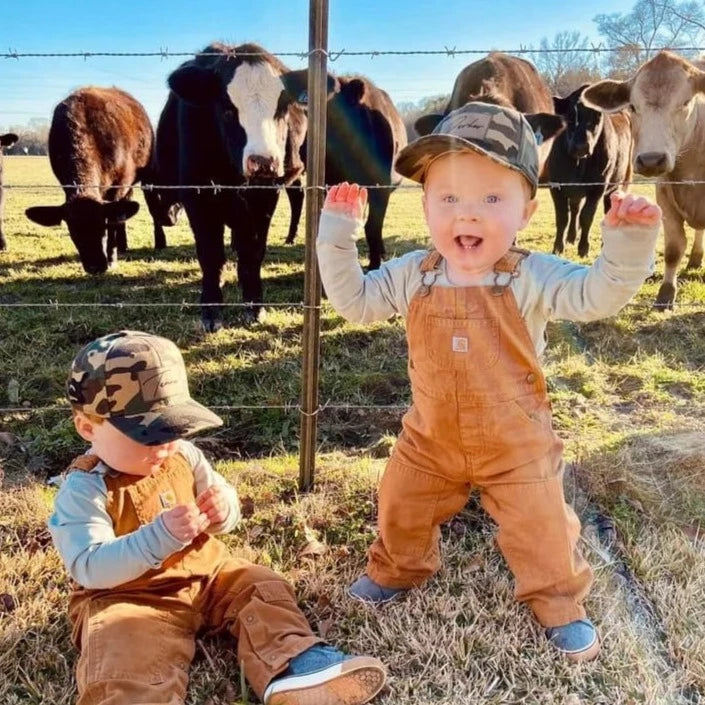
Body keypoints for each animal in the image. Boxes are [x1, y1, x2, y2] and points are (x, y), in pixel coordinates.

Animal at [544, 84, 632, 258]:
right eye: (570, 116)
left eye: (597, 116)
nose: (581, 146)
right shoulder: (556, 186)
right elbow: (562, 217)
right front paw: (558, 247)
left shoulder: (597, 187)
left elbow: (587, 217)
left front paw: (583, 248)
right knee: (575, 209)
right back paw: (571, 237)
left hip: (616, 185)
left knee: (607, 210)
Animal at [584, 52, 704, 308]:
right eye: (632, 106)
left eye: (686, 102)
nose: (651, 159)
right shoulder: (665, 197)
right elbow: (673, 248)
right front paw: (666, 293)